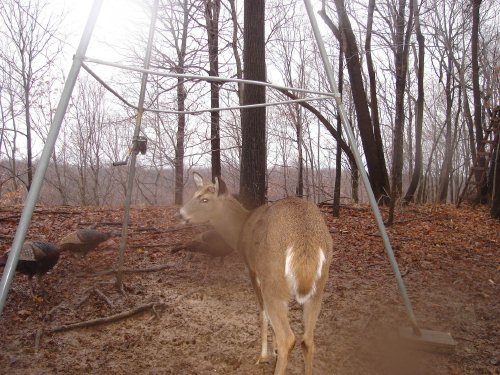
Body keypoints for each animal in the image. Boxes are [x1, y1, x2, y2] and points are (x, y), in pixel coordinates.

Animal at [178, 174, 334, 375]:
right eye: (194, 193)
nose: (180, 214)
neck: (241, 228)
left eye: (204, 199)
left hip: (273, 282)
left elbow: (262, 313)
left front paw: (263, 356)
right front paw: (273, 351)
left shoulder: (252, 270)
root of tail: (306, 242)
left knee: (288, 338)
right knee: (308, 340)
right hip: (318, 288)